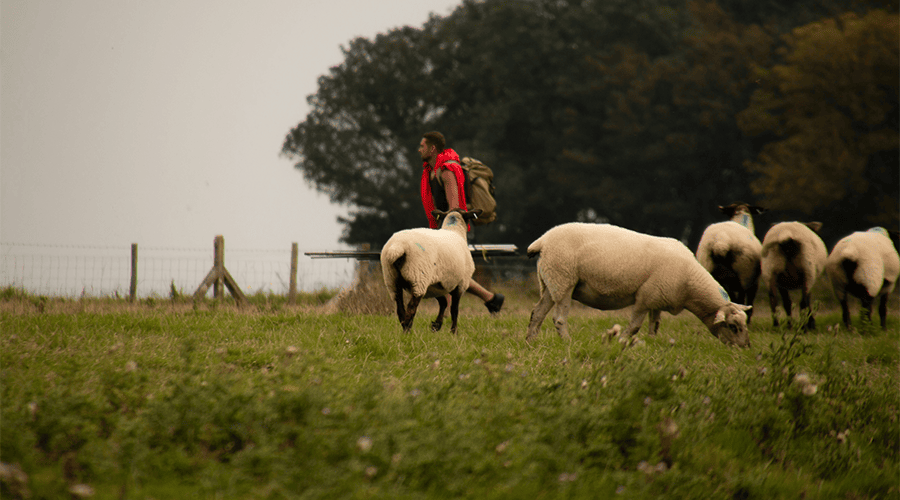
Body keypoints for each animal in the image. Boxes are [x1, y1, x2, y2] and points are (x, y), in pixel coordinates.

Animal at [525, 223, 752, 347]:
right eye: (733, 326)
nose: (746, 348)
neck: (691, 286)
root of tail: (542, 241)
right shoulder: (645, 297)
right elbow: (634, 327)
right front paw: (621, 342)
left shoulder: (659, 298)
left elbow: (655, 325)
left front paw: (651, 343)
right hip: (564, 279)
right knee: (559, 318)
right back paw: (567, 342)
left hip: (550, 282)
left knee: (537, 313)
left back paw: (531, 341)